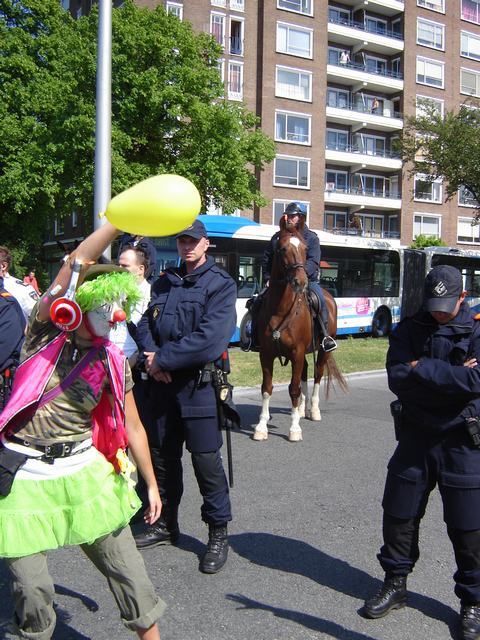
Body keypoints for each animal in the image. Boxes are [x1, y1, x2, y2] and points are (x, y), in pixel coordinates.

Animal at [253, 218, 346, 442]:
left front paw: (294, 429)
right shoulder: (266, 355)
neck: (281, 309)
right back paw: (302, 409)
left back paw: (313, 410)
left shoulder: (296, 353)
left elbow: (294, 389)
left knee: (317, 374)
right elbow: (266, 388)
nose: (300, 281)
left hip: (322, 351)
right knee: (305, 370)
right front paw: (261, 427)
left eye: (305, 249)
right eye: (282, 248)